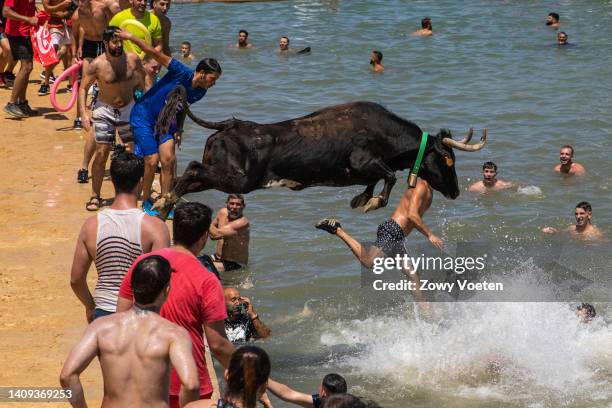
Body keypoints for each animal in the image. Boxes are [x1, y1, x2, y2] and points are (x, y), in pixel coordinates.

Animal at [154, 99, 488, 214]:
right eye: (447, 160)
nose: (456, 192)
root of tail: (228, 124)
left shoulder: (365, 171)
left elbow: (374, 181)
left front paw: (363, 199)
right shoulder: (362, 161)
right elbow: (389, 177)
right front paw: (374, 202)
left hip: (224, 177)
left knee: (190, 175)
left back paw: (166, 201)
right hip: (238, 179)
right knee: (192, 168)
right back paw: (165, 200)